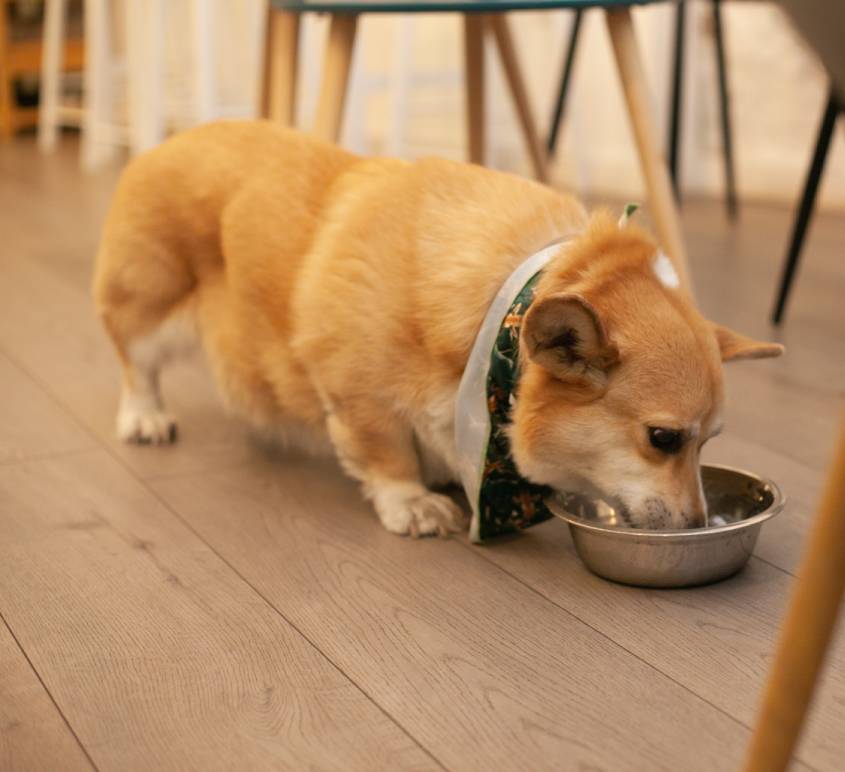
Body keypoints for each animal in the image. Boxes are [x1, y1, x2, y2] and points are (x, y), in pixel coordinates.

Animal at [92, 125, 780, 536]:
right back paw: (144, 418)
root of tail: (168, 139)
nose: (697, 525)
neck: (502, 312)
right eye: (663, 439)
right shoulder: (360, 398)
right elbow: (386, 454)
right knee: (133, 362)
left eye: (709, 442)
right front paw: (413, 503)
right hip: (150, 307)